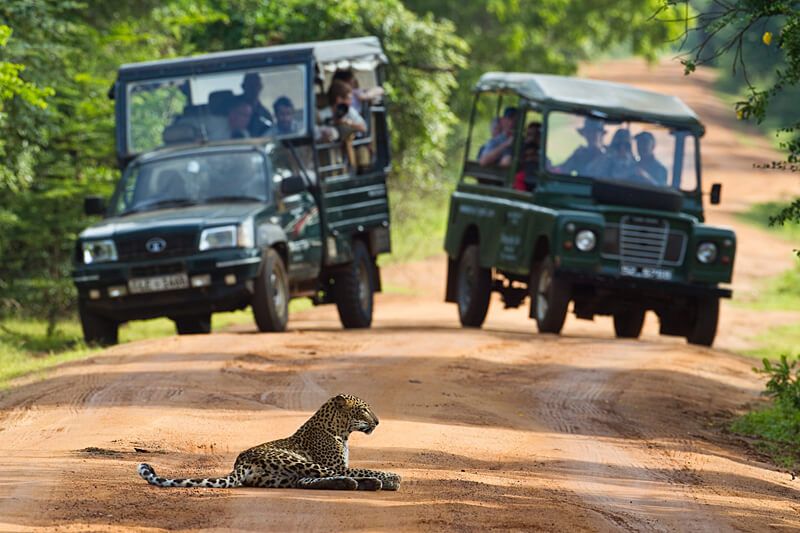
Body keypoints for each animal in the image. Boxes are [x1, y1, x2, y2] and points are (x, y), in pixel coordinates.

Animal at [137, 394, 401, 491]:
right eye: (364, 410)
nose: (378, 422)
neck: (341, 431)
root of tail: (239, 463)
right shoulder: (335, 464)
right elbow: (363, 468)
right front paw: (391, 476)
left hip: (286, 475)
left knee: (306, 482)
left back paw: (355, 484)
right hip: (295, 461)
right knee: (334, 476)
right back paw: (377, 483)